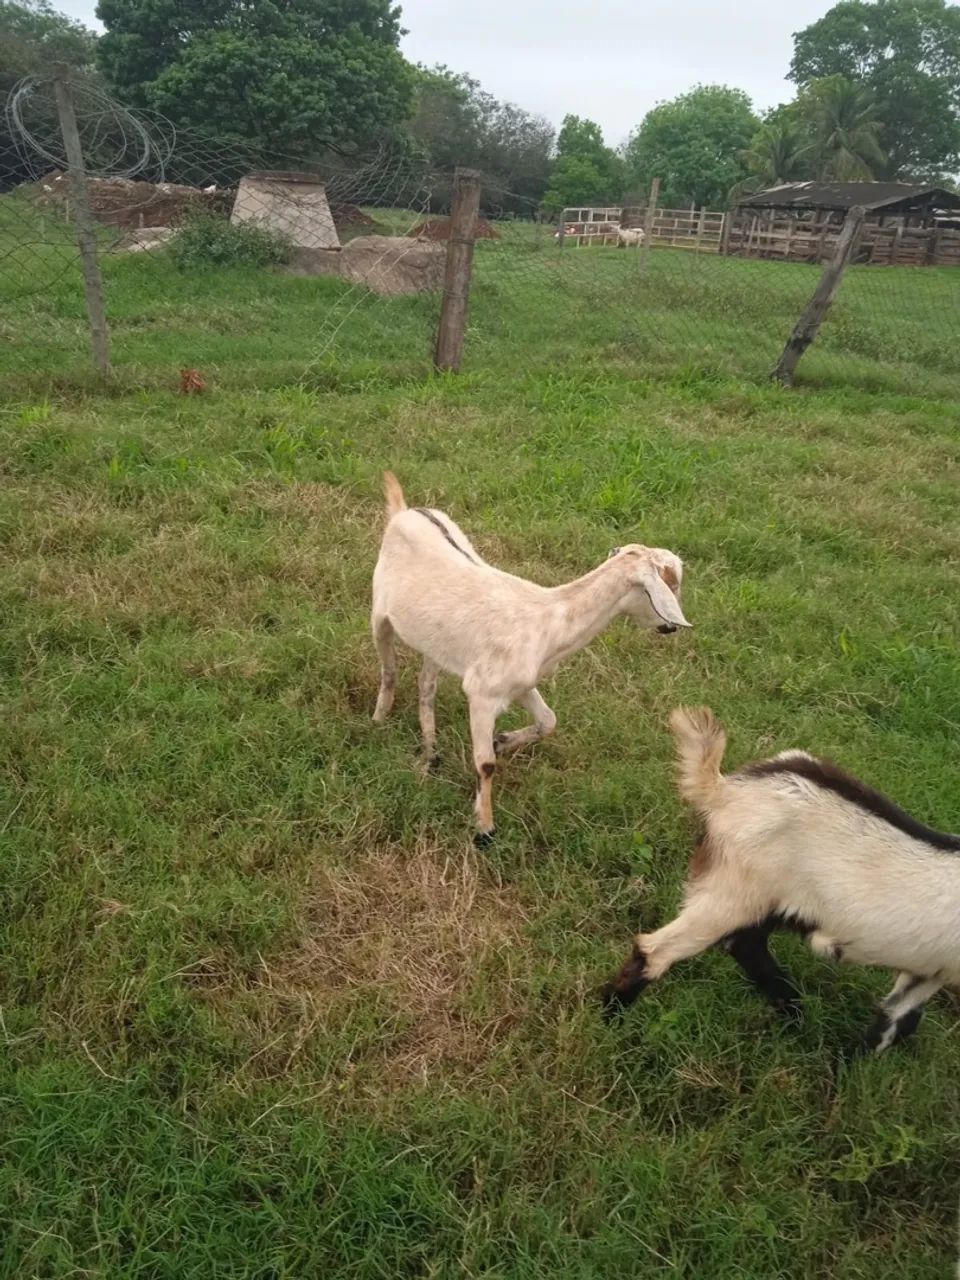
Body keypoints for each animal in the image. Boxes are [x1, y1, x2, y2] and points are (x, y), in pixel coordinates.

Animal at [371, 473, 690, 844]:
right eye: (670, 583)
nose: (670, 627)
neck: (546, 620)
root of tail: (405, 511)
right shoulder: (482, 693)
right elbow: (485, 764)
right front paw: (484, 829)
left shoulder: (522, 684)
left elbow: (548, 721)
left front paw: (503, 740)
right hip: (379, 613)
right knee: (389, 669)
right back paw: (379, 720)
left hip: (433, 639)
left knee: (426, 685)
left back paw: (430, 752)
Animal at [603, 707, 960, 1053]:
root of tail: (724, 790)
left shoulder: (929, 970)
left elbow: (895, 1017)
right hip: (733, 892)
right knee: (659, 950)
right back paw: (610, 1020)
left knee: (745, 944)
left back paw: (795, 1012)